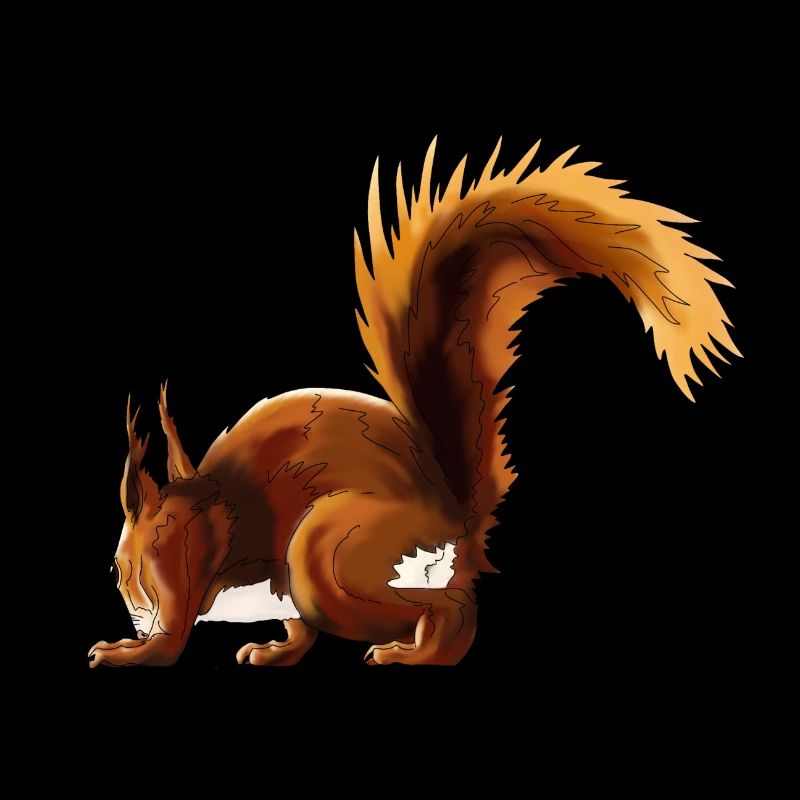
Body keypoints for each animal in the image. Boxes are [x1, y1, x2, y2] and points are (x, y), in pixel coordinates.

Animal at [89, 138, 737, 667]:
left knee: (450, 605)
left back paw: (414, 654)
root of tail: (453, 517)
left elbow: (174, 632)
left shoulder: (185, 555)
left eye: (120, 566)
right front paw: (271, 650)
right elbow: (296, 634)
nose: (132, 613)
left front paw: (129, 651)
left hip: (328, 555)